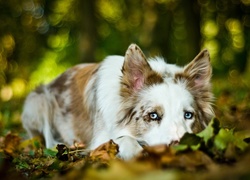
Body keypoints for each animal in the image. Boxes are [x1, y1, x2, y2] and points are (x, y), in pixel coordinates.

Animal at [21, 44, 214, 160]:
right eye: (153, 115)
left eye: (188, 115)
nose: (182, 144)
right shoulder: (100, 139)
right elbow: (126, 140)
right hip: (39, 101)